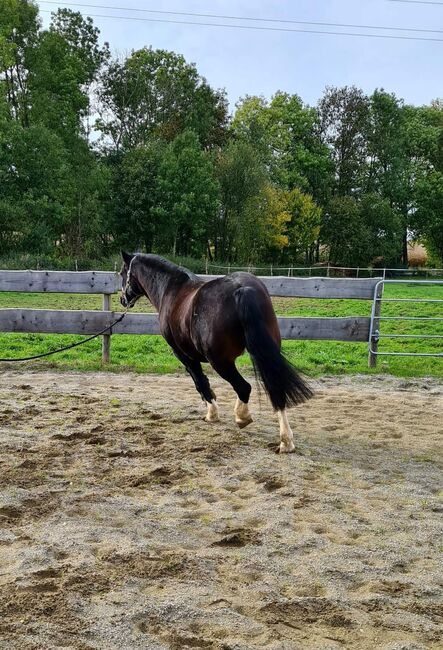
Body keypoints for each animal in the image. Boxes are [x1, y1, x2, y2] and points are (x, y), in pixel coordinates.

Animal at [119, 251, 314, 454]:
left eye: (122, 273)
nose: (122, 300)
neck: (172, 291)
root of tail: (242, 289)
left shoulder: (183, 355)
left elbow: (200, 382)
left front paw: (211, 413)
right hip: (265, 353)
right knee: (275, 388)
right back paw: (286, 441)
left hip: (220, 362)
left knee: (244, 387)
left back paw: (242, 417)